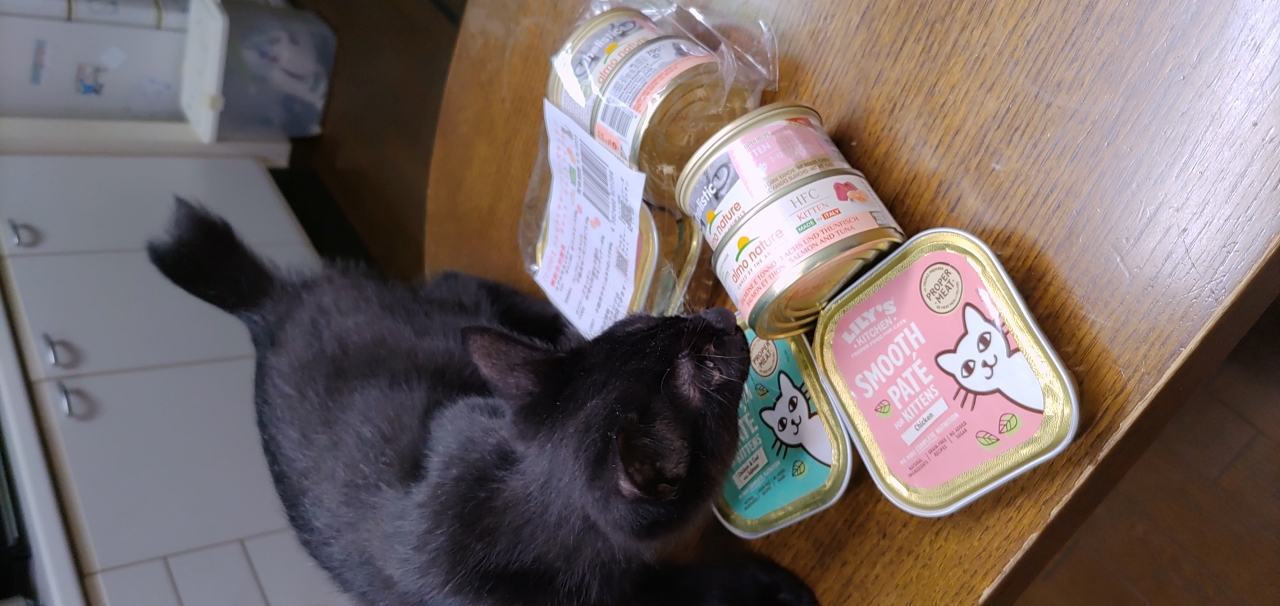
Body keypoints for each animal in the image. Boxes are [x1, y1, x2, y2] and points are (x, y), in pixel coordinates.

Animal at [147, 200, 818, 606]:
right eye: (704, 368)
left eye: (654, 322)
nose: (719, 318)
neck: (525, 507)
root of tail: (267, 311)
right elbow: (687, 587)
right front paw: (769, 583)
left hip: (454, 301)